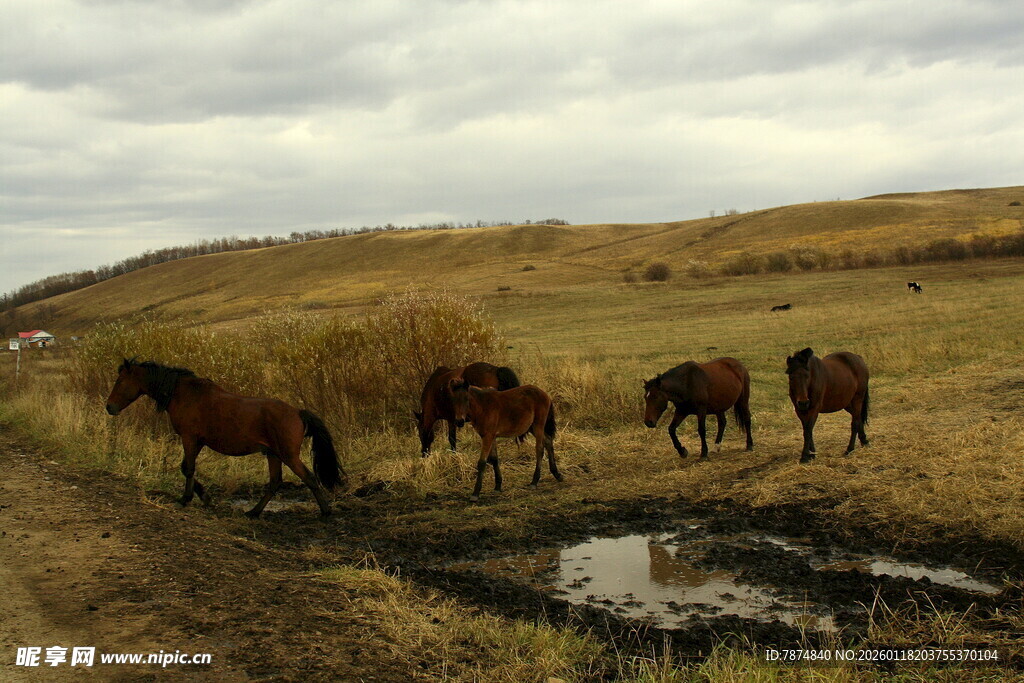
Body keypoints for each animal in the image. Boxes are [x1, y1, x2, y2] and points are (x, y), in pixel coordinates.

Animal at [105, 359, 346, 518]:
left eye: (119, 381)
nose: (109, 407)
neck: (183, 394)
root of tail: (297, 412)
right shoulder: (197, 441)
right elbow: (186, 467)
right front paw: (204, 497)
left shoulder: (190, 438)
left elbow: (188, 468)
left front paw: (185, 499)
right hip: (273, 454)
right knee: (275, 482)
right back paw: (253, 512)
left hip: (288, 455)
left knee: (309, 478)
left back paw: (325, 512)